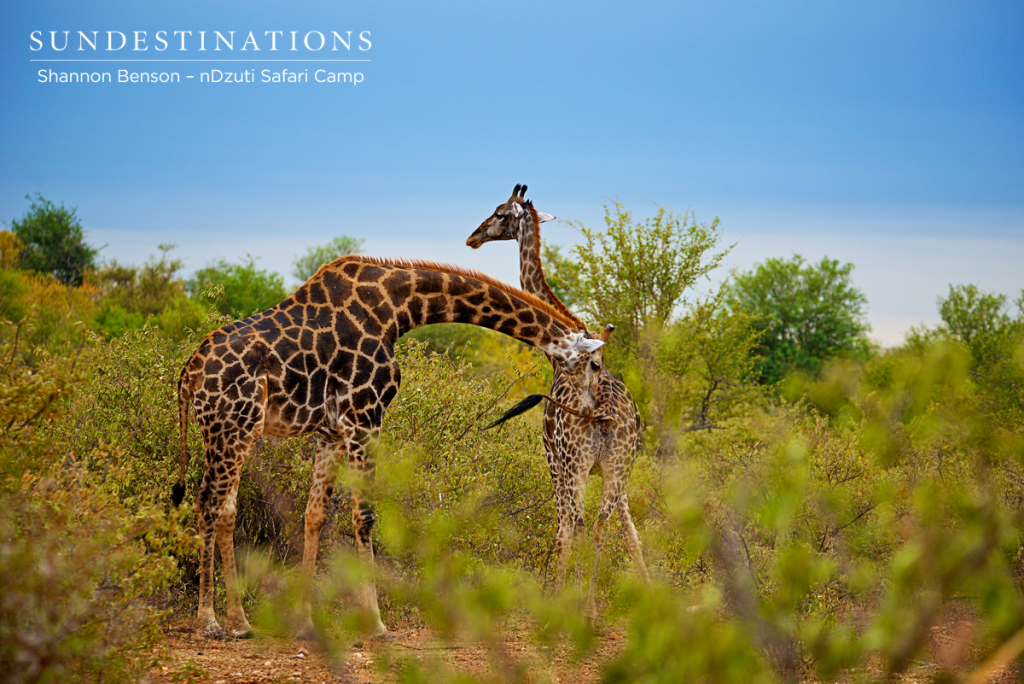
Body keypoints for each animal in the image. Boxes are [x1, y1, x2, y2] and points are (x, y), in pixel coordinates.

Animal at [173, 253, 610, 638]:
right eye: (595, 365)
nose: (593, 411)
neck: (398, 308)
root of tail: (188, 373)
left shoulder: (331, 431)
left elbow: (315, 515)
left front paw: (305, 622)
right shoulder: (365, 416)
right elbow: (364, 517)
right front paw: (376, 624)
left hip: (237, 431)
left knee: (226, 508)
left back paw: (241, 622)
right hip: (230, 426)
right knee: (207, 502)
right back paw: (209, 622)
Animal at [464, 184, 647, 618]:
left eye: (500, 213)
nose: (473, 237)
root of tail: (604, 417)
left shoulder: (553, 457)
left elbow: (563, 528)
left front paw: (560, 596)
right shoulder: (618, 474)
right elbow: (631, 533)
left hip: (576, 465)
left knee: (578, 525)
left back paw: (585, 606)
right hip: (616, 467)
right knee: (599, 525)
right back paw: (595, 604)